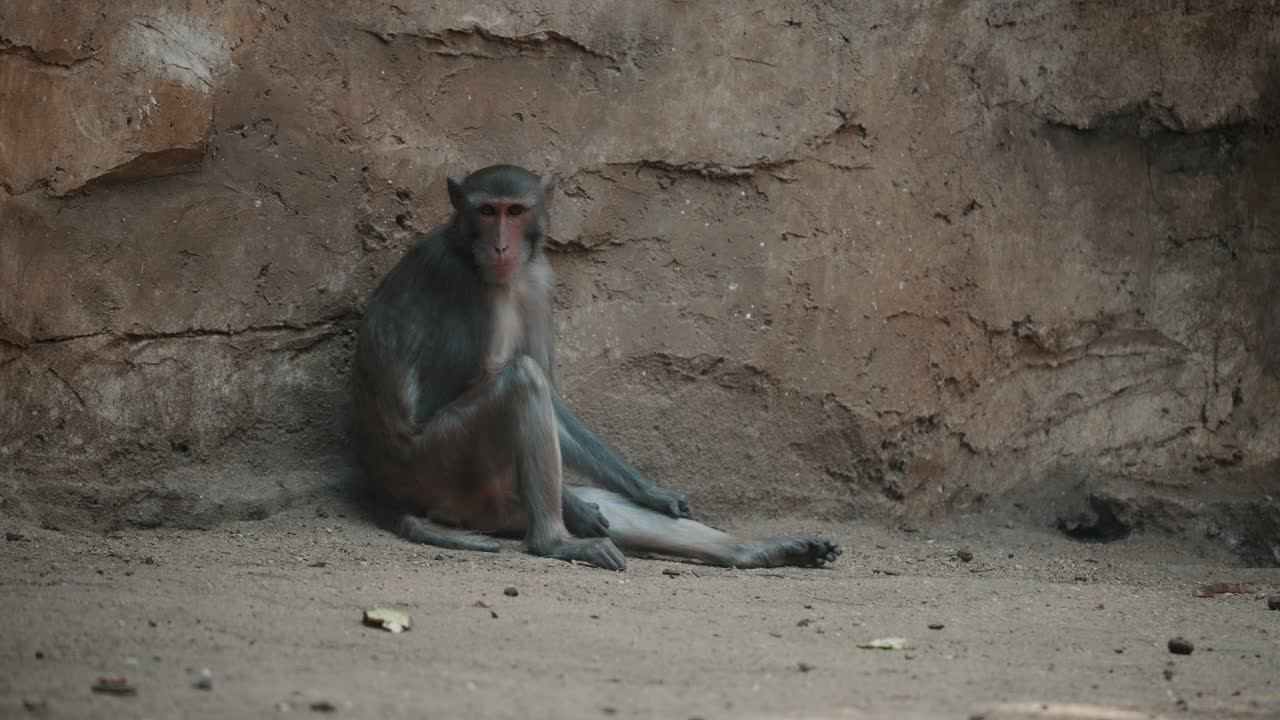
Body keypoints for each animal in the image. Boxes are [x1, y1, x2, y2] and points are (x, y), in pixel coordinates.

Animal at [350, 164, 841, 571]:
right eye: (486, 211)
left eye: (515, 210)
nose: (501, 245)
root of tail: (387, 489)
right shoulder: (460, 281)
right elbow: (475, 382)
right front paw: (579, 512)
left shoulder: (537, 278)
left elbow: (554, 396)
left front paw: (651, 493)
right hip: (440, 469)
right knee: (520, 381)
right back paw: (555, 539)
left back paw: (758, 551)